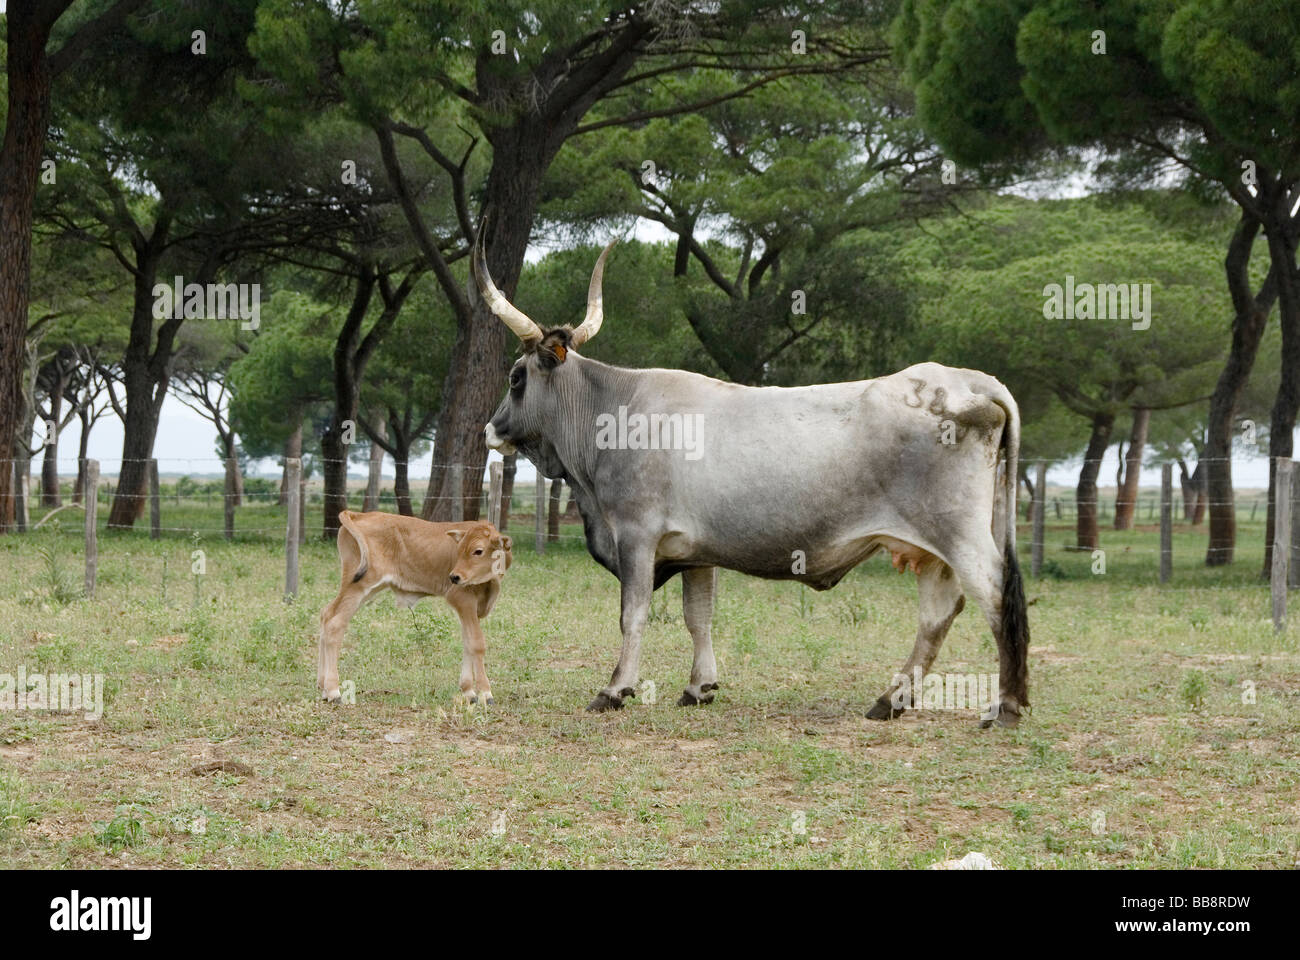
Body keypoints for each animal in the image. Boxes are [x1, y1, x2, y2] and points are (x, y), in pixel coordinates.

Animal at [315, 509, 512, 702]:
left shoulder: (469, 609)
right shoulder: (461, 599)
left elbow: (467, 642)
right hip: (359, 585)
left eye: (478, 551)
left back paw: (323, 687)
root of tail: (358, 514)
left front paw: (468, 691)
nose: (454, 577)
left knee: (326, 614)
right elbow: (477, 643)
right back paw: (333, 690)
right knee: (335, 623)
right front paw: (485, 693)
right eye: (459, 549)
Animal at [473, 234, 1029, 723]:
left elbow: (634, 613)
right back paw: (890, 701)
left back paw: (1006, 706)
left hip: (959, 535)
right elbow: (698, 615)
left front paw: (615, 690)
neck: (613, 408)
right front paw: (699, 687)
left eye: (515, 378)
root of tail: (966, 379)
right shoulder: (694, 552)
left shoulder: (636, 535)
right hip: (932, 549)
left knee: (995, 596)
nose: (490, 429)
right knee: (939, 612)